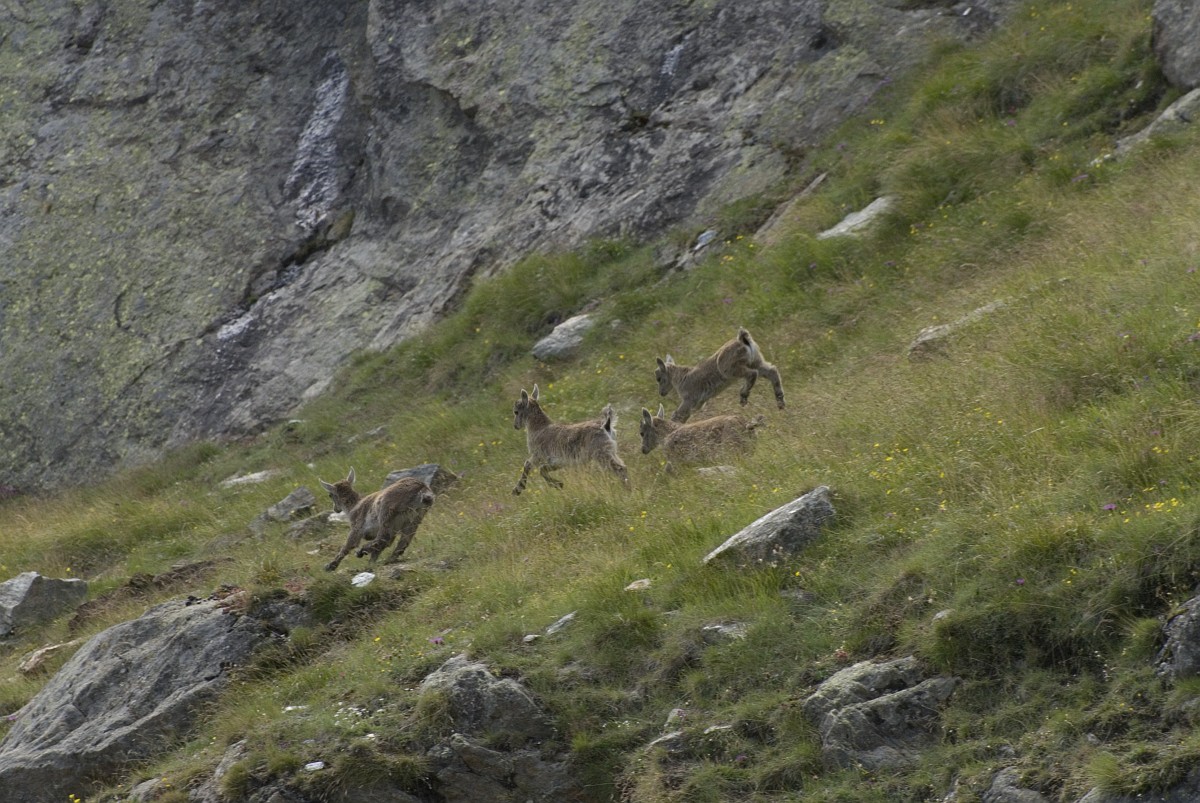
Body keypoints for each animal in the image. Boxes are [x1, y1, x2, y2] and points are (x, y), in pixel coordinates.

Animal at [654, 327, 785, 422]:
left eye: (659, 378)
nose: (661, 393)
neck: (680, 377)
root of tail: (743, 340)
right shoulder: (699, 403)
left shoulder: (690, 399)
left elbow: (677, 415)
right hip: (756, 362)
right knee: (772, 371)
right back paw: (780, 402)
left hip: (730, 369)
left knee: (752, 374)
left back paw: (743, 396)